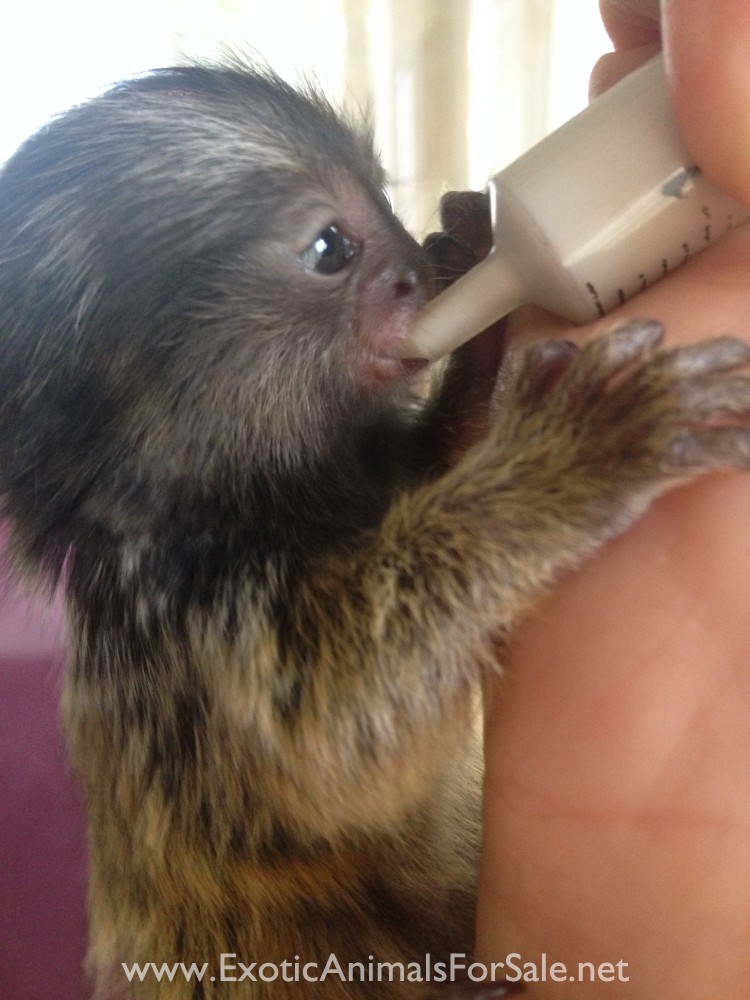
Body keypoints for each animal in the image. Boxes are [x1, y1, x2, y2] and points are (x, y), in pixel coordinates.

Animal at [2, 58, 750, 1000]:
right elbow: (335, 731)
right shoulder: (187, 617)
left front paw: (476, 292)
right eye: (332, 249)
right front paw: (579, 454)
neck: (244, 498)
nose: (414, 270)